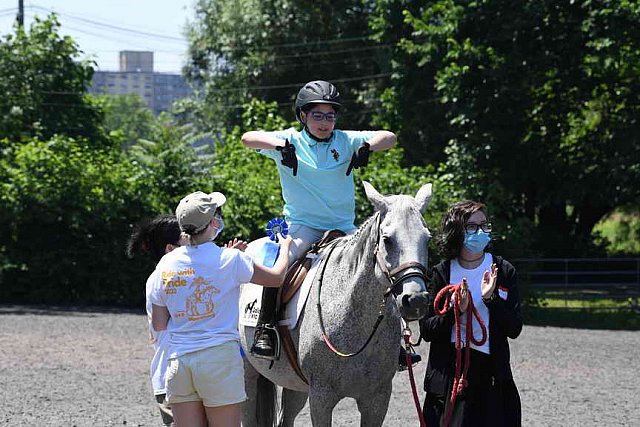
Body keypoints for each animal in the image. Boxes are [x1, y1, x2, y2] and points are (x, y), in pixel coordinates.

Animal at [241, 182, 436, 426]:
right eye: (387, 239)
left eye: (427, 239)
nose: (416, 300)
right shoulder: (321, 398)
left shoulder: (377, 399)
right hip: (248, 377)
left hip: (296, 386)